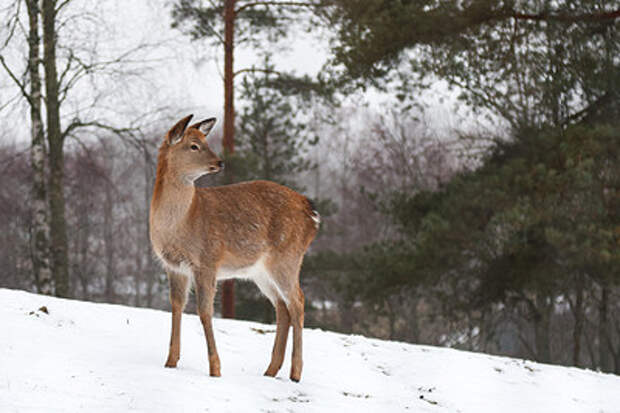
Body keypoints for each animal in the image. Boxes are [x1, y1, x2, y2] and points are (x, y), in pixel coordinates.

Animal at [150, 114, 320, 382]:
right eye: (194, 145)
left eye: (205, 141)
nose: (220, 162)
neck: (182, 221)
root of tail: (312, 215)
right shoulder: (173, 266)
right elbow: (176, 306)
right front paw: (170, 362)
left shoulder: (207, 260)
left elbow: (205, 311)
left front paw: (215, 369)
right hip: (260, 271)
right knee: (282, 306)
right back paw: (271, 370)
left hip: (288, 257)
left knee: (298, 301)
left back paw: (295, 373)